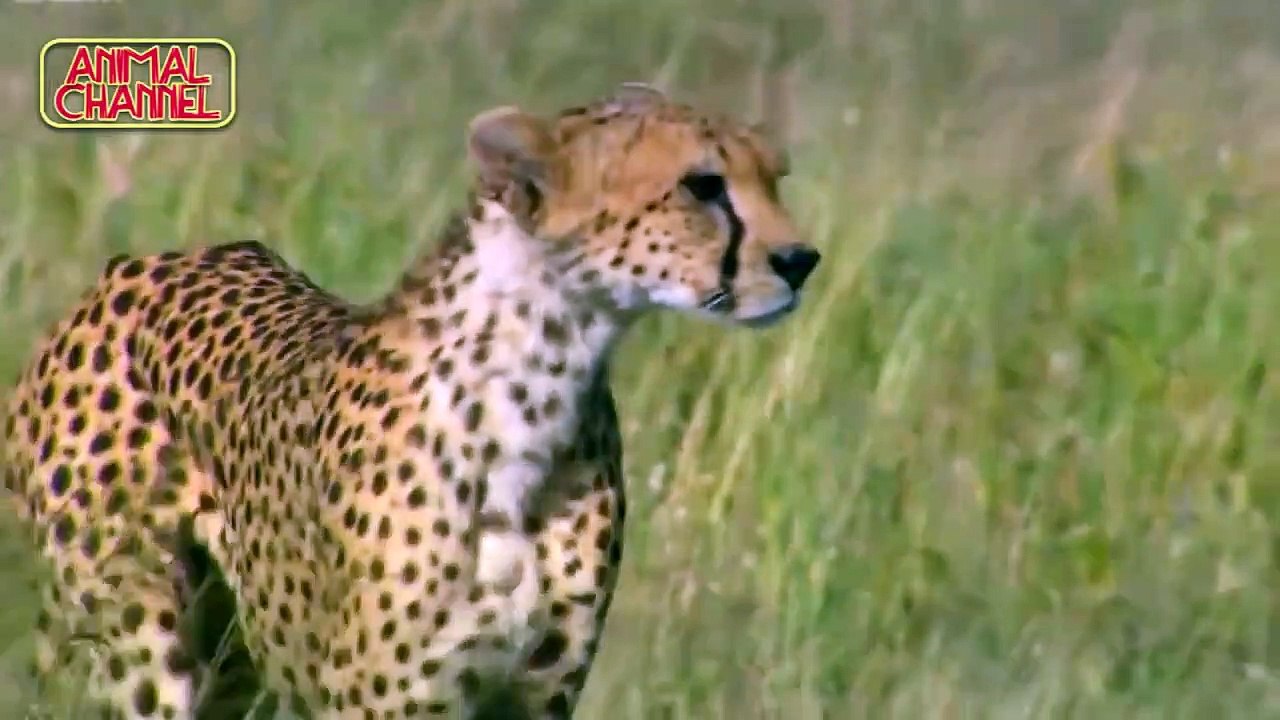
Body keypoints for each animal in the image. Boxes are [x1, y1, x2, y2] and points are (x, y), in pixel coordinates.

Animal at [2, 82, 821, 719]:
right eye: (701, 186)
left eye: (774, 176)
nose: (801, 260)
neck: (541, 373)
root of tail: (132, 267)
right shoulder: (386, 699)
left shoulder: (537, 693)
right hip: (140, 643)